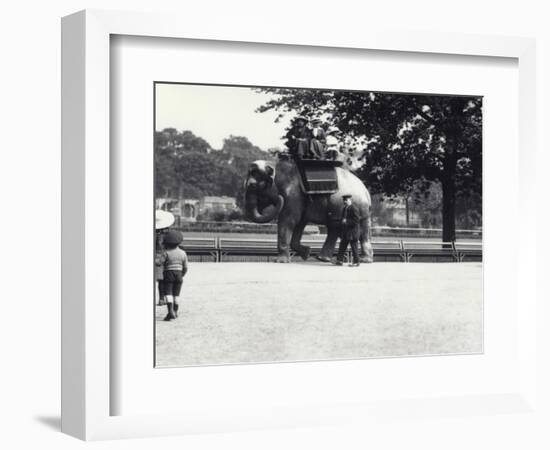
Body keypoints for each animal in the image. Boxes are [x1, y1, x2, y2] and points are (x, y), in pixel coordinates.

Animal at [245, 159, 376, 262]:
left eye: (252, 185)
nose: (278, 198)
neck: (275, 164)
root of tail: (366, 191)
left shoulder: (293, 195)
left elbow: (289, 220)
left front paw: (280, 261)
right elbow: (299, 223)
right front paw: (306, 253)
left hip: (346, 204)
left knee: (342, 228)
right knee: (347, 229)